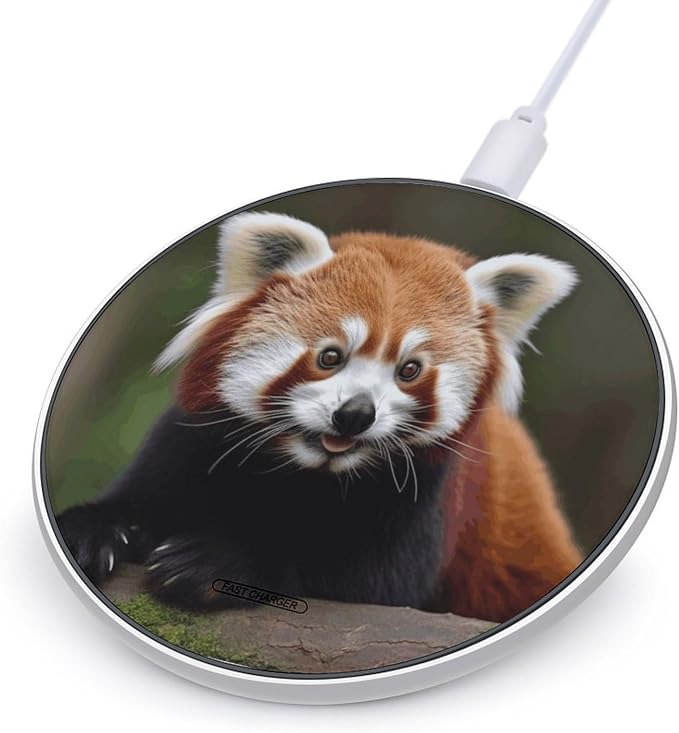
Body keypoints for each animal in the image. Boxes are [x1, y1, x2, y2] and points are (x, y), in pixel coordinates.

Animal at [57, 212, 582, 623]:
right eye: (331, 356)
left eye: (409, 370)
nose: (355, 415)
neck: (302, 471)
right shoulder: (191, 439)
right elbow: (141, 497)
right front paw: (94, 530)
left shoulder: (430, 495)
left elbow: (365, 583)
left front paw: (217, 560)